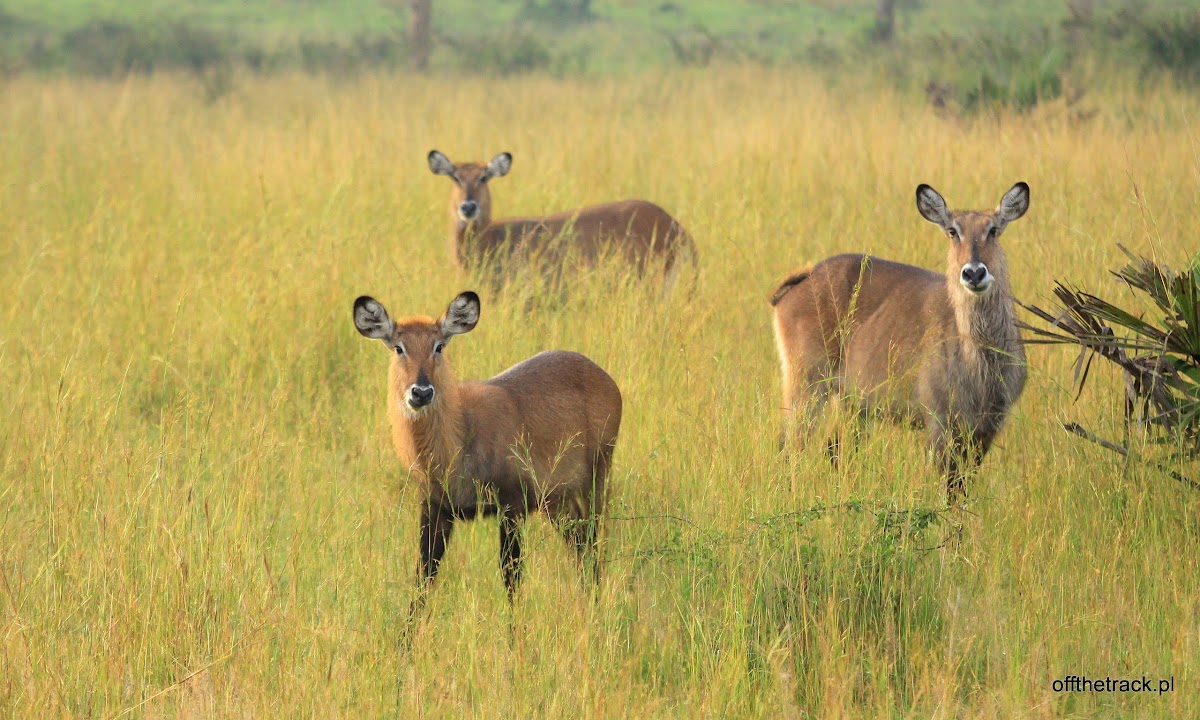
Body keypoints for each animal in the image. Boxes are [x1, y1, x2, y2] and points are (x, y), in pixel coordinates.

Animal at [352, 289, 619, 604]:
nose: (421, 392)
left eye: (439, 346)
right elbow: (422, 578)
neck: (460, 438)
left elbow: (511, 577)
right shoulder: (435, 509)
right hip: (557, 500)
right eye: (398, 347)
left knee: (593, 543)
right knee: (580, 544)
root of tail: (604, 376)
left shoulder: (512, 506)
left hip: (596, 480)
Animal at [768, 182, 1032, 504]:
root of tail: (802, 277)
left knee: (835, 449)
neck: (980, 362)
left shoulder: (986, 428)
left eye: (993, 229)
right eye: (952, 230)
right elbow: (948, 489)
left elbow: (962, 488)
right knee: (789, 447)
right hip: (806, 385)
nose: (973, 272)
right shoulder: (939, 422)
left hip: (854, 402)